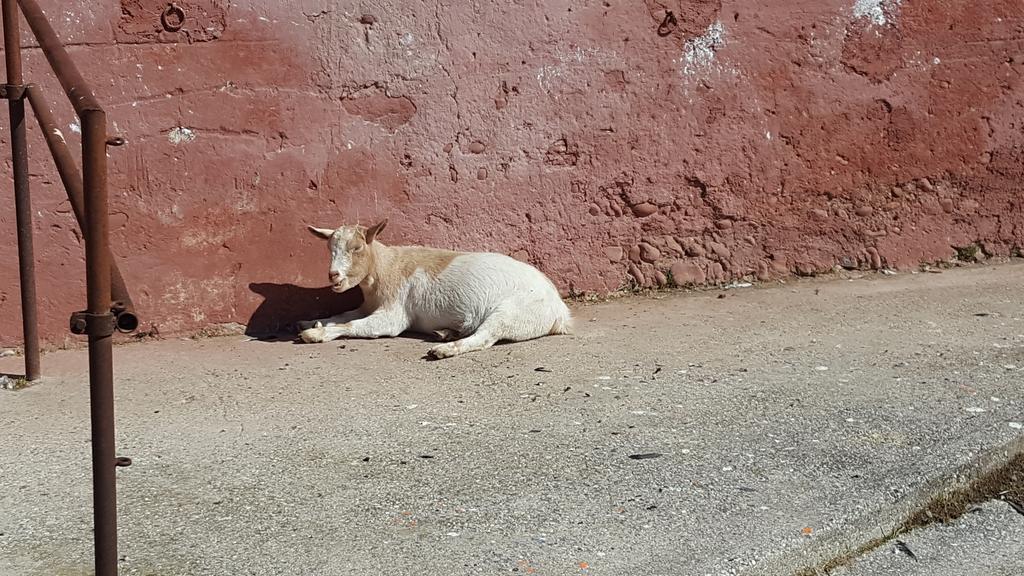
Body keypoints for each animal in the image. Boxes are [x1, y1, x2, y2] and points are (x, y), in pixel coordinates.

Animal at [296, 218, 573, 356]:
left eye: (357, 248)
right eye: (329, 248)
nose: (334, 276)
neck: (386, 266)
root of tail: (560, 311)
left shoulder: (393, 313)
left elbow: (353, 325)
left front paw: (315, 334)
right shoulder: (367, 306)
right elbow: (343, 314)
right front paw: (309, 322)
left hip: (513, 312)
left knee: (486, 337)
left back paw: (444, 349)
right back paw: (445, 334)